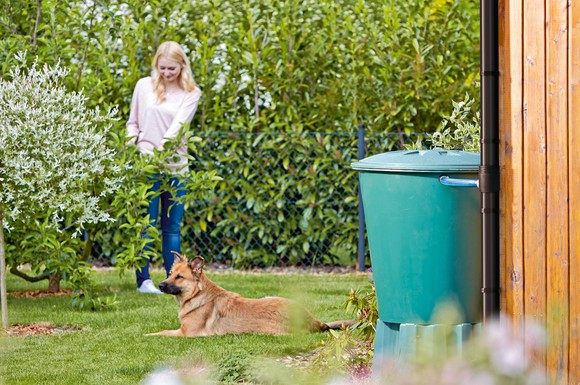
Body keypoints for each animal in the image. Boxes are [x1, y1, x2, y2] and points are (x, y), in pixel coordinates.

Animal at [147, 250, 356, 334]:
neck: (197, 295)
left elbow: (160, 333)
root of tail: (315, 321)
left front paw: (146, 336)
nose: (160, 285)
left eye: (179, 277)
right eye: (170, 274)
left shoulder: (185, 334)